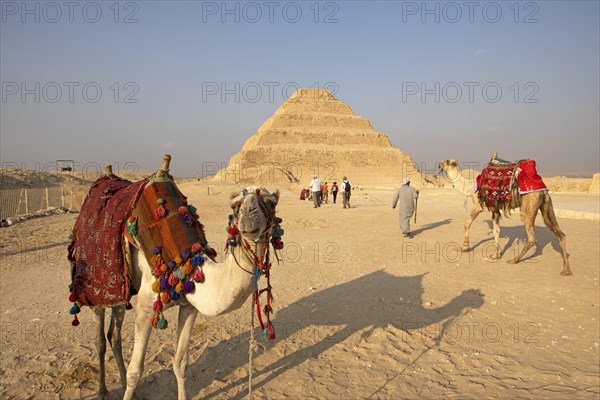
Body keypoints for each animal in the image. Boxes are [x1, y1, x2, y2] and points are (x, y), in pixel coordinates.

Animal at [74, 155, 280, 398]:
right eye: (235, 205)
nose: (249, 217)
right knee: (100, 338)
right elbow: (136, 370)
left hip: (122, 286)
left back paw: (122, 384)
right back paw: (103, 391)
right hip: (97, 286)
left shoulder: (190, 306)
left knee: (114, 334)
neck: (185, 262)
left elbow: (181, 363)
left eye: (271, 203)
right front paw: (128, 382)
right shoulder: (146, 306)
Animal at [436, 158, 572, 276]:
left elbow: (467, 223)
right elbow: (496, 230)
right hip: (546, 206)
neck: (469, 188)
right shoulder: (495, 209)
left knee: (531, 237)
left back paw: (514, 260)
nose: (438, 164)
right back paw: (566, 270)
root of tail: (542, 190)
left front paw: (465, 247)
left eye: (445, 161)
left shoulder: (478, 205)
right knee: (560, 234)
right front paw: (495, 255)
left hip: (529, 205)